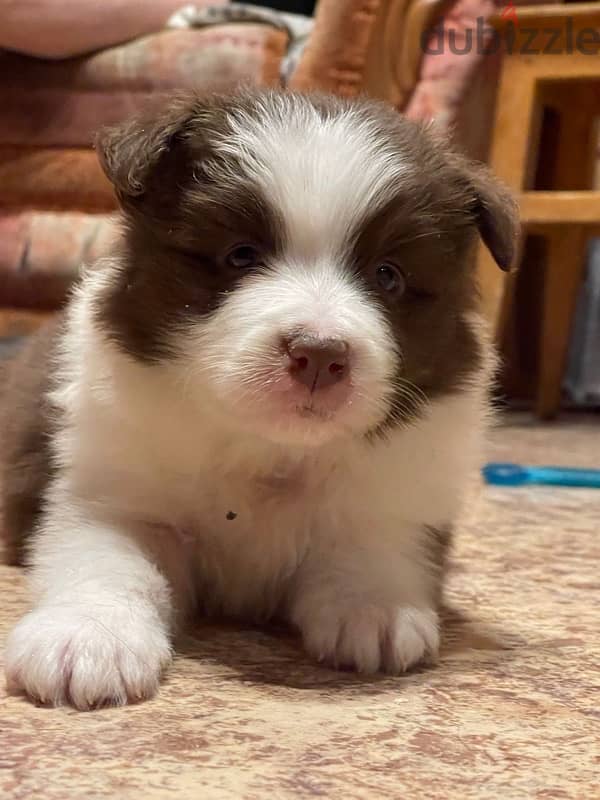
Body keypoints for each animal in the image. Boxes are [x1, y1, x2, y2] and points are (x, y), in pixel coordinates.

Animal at [1, 90, 516, 708]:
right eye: (240, 255)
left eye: (388, 275)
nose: (319, 355)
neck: (268, 450)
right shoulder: (112, 493)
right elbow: (107, 560)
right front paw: (87, 637)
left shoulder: (398, 495)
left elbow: (374, 545)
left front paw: (375, 608)